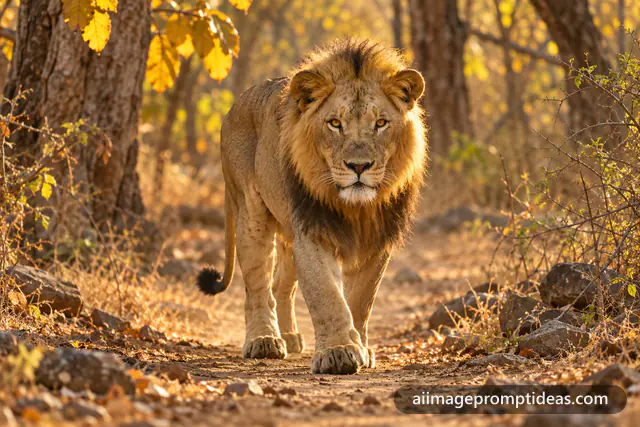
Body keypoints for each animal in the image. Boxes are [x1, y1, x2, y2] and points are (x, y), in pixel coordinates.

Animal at [196, 39, 427, 375]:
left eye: (381, 123)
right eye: (335, 124)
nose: (359, 166)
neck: (356, 208)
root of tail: (235, 105)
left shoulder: (377, 240)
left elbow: (361, 300)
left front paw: (361, 347)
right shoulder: (313, 232)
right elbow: (326, 295)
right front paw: (339, 352)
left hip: (288, 234)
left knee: (281, 284)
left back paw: (290, 336)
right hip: (251, 214)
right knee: (257, 285)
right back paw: (264, 340)